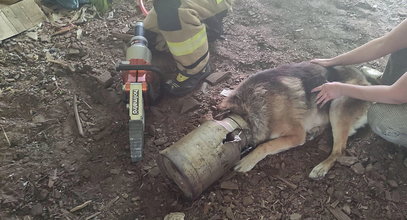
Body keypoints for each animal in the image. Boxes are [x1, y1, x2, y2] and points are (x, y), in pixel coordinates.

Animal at [220, 61, 372, 179]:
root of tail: (367, 82)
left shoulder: (297, 135)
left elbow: (265, 145)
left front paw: (247, 161)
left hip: (338, 103)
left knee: (339, 150)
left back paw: (321, 168)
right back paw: (314, 131)